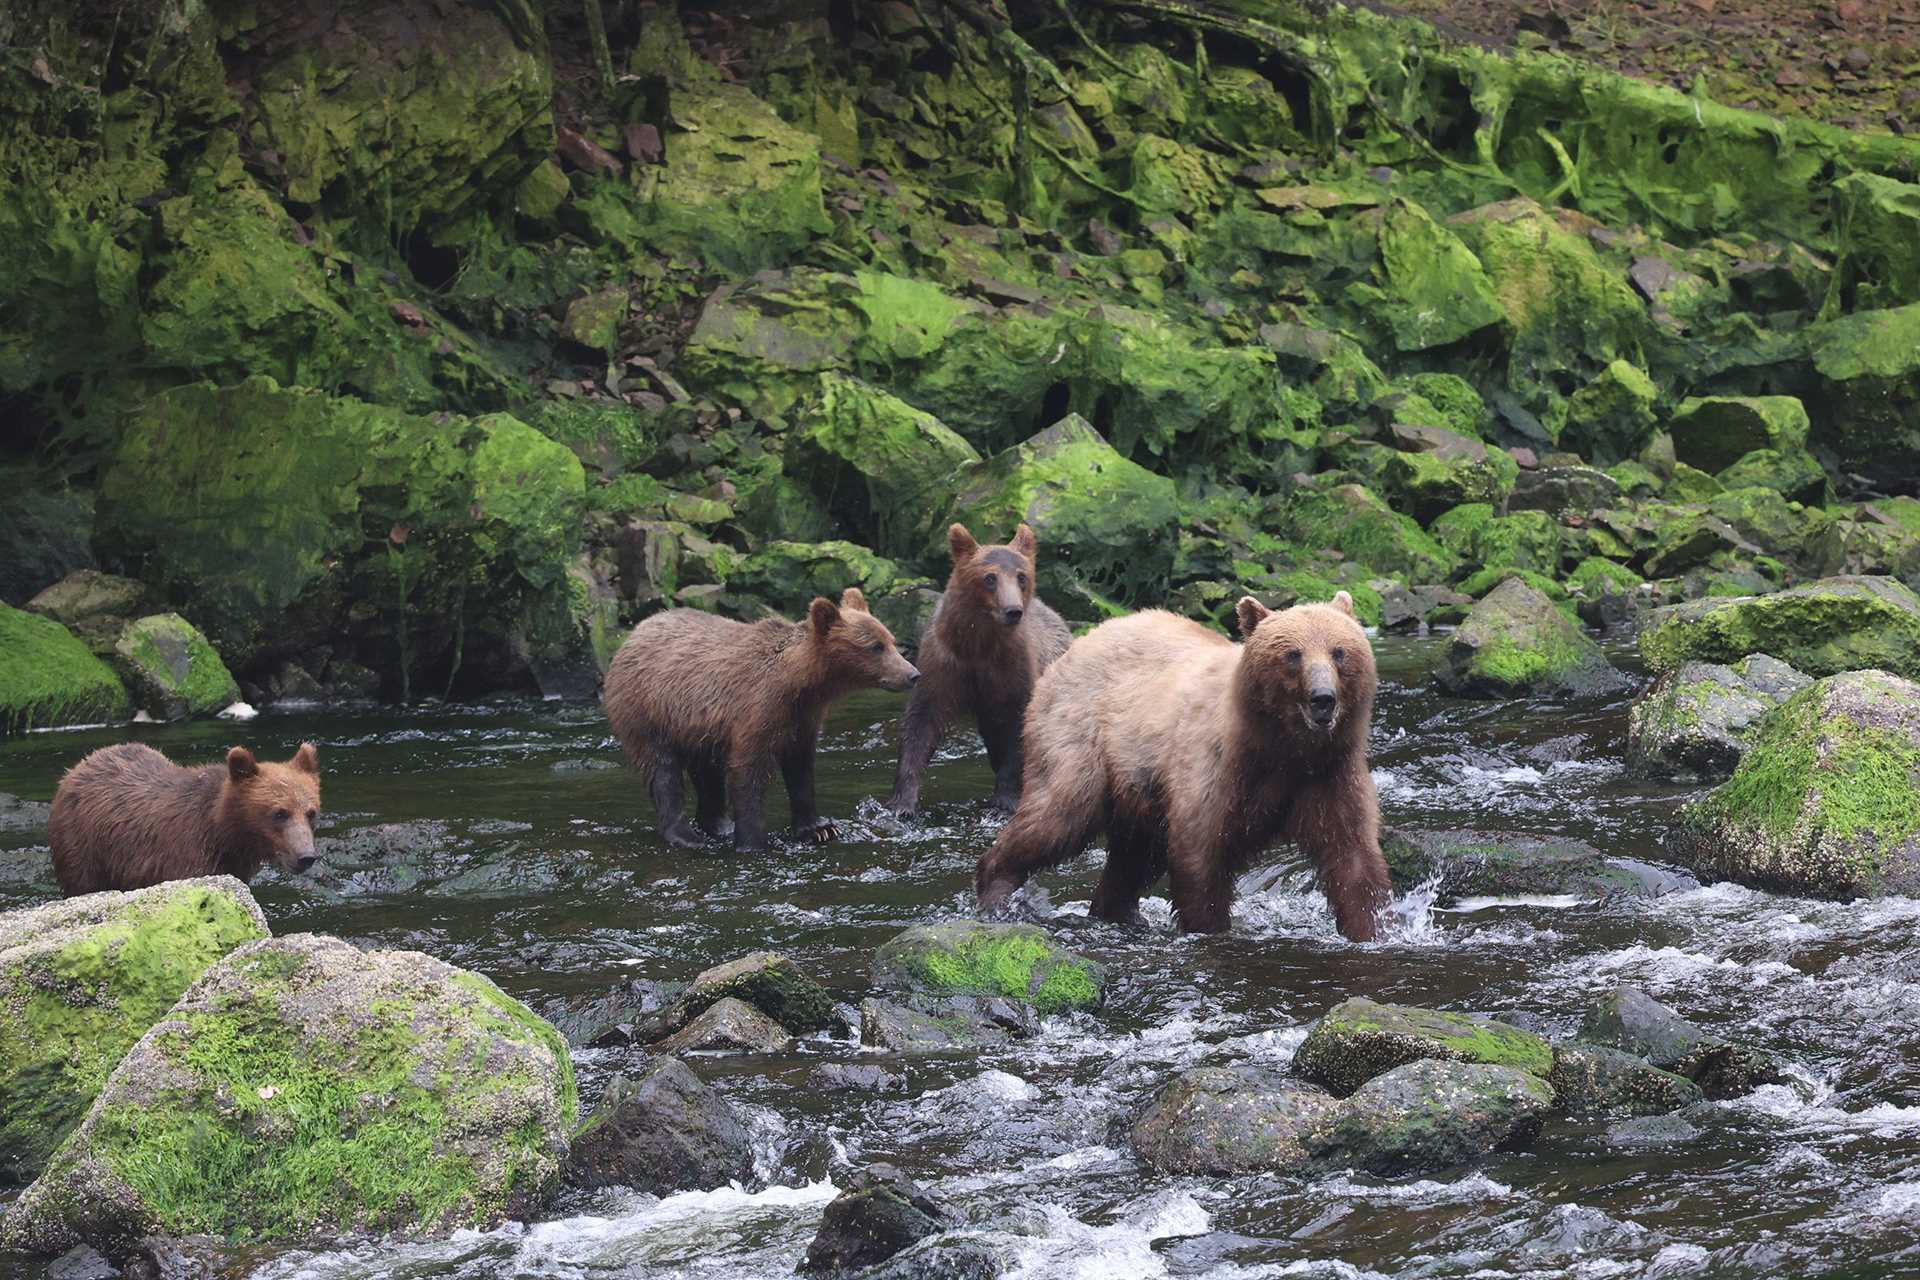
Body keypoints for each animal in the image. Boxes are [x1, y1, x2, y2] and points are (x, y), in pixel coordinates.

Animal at [46, 740, 324, 901]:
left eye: (311, 812)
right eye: (280, 813)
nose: (306, 857)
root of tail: (81, 764)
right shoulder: (183, 857)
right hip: (83, 846)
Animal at [606, 587, 921, 852]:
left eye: (891, 640)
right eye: (875, 646)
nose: (913, 674)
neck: (801, 682)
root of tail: (635, 633)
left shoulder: (802, 718)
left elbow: (800, 770)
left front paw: (820, 829)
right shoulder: (758, 709)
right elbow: (749, 771)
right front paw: (754, 843)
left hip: (697, 726)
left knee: (708, 773)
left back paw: (719, 825)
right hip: (648, 711)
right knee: (663, 772)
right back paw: (686, 836)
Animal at [887, 521, 1075, 817]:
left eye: (1021, 576)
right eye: (990, 577)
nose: (1013, 610)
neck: (979, 644)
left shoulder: (1013, 670)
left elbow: (1017, 727)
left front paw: (1005, 798)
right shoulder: (943, 663)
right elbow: (921, 722)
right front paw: (902, 802)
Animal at [983, 594, 1390, 940]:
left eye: (1339, 652)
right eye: (1293, 654)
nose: (1323, 698)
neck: (1281, 748)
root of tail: (1081, 643)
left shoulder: (1329, 774)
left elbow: (1353, 857)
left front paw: (1373, 929)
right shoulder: (1217, 769)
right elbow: (1202, 851)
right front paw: (1210, 927)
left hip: (1140, 790)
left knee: (1133, 858)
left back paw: (1118, 912)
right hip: (1080, 738)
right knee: (1057, 815)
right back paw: (996, 887)